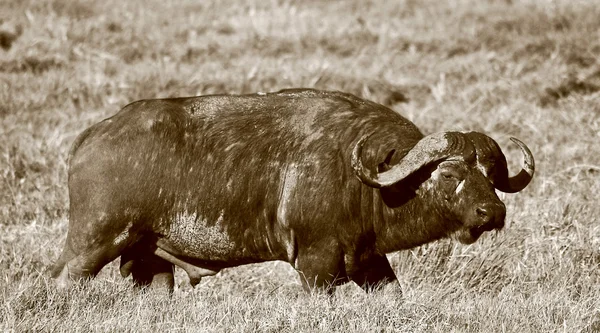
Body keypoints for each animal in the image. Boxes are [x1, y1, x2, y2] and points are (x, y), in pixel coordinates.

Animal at [52, 87, 536, 290]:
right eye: (450, 175)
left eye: (490, 176)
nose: (492, 214)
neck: (365, 184)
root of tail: (91, 138)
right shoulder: (315, 266)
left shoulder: (369, 262)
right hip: (93, 243)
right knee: (63, 281)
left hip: (149, 261)